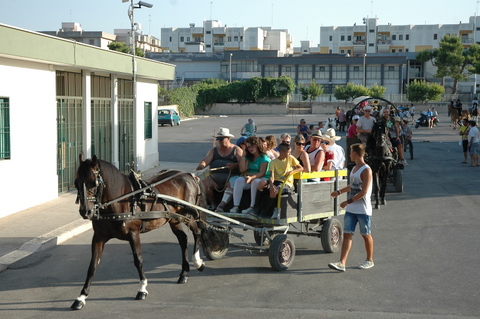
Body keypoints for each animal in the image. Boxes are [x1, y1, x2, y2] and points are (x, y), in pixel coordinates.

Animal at [70, 155, 218, 310]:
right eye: (76, 182)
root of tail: (189, 175)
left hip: (188, 215)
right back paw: (184, 273)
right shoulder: (99, 237)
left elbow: (138, 260)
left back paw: (198, 262)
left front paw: (142, 289)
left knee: (198, 232)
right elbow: (93, 265)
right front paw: (81, 297)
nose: (85, 211)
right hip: (174, 219)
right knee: (183, 239)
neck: (120, 200)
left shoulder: (133, 234)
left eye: (94, 182)